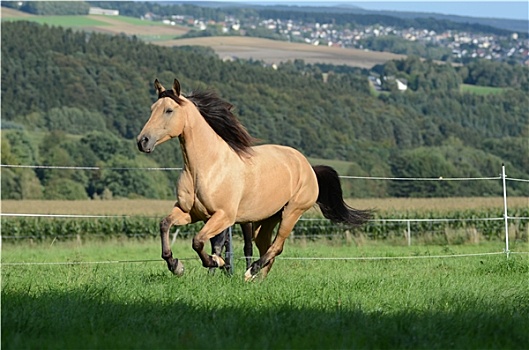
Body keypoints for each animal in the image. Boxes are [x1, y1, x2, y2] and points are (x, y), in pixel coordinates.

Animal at [137, 78, 372, 280]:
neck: (207, 167)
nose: (143, 141)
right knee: (266, 246)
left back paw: (250, 272)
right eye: (152, 109)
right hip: (267, 219)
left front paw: (216, 262)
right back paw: (258, 278)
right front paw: (176, 265)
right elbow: (165, 225)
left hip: (292, 212)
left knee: (276, 246)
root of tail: (308, 167)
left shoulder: (223, 216)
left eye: (169, 110)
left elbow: (198, 241)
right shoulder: (190, 213)